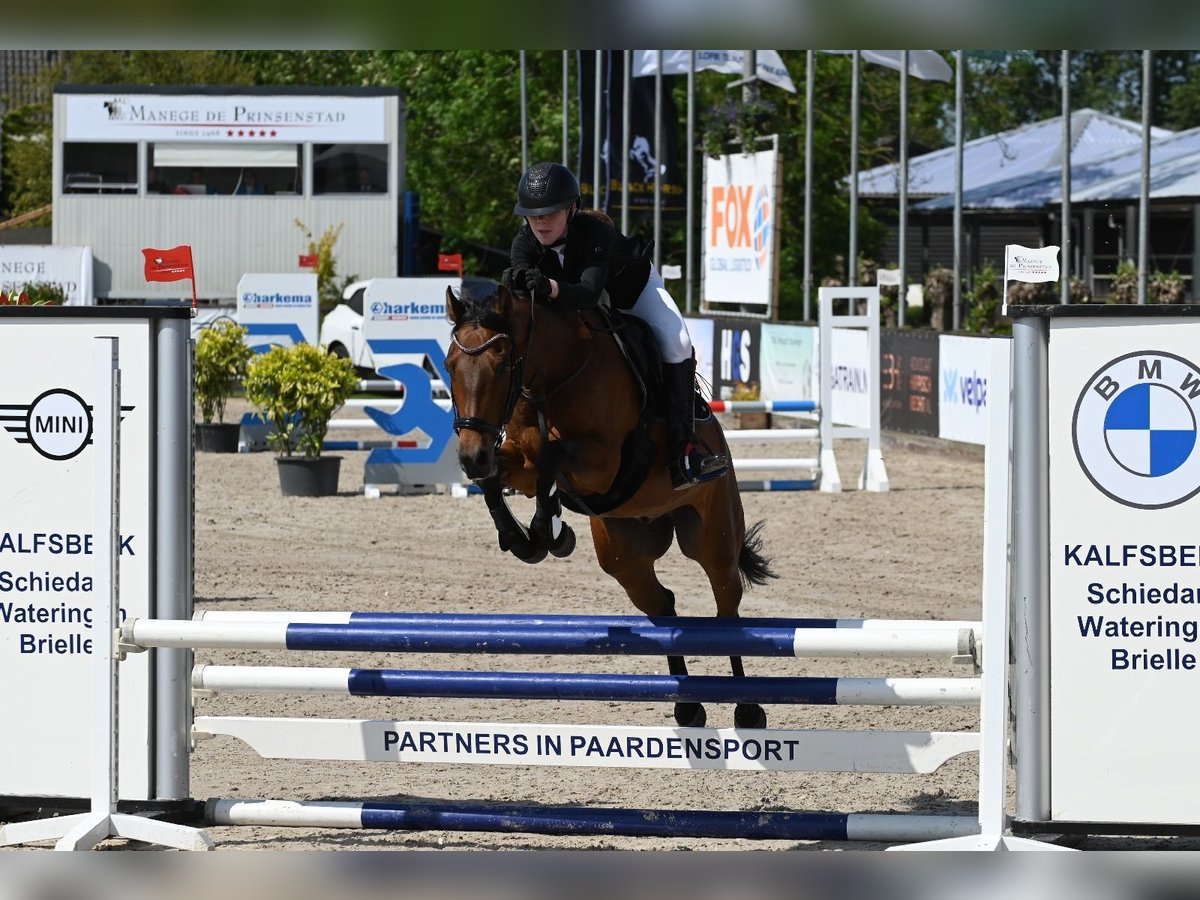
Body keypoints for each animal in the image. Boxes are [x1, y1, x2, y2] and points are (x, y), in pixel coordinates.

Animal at [444, 277, 777, 734]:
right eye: (448, 365)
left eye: (501, 366)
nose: (470, 457)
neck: (556, 374)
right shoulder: (518, 463)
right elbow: (504, 476)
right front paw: (524, 538)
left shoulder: (602, 462)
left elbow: (550, 456)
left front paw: (549, 531)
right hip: (625, 555)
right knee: (663, 605)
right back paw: (688, 707)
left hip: (713, 536)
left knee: (726, 607)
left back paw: (747, 708)